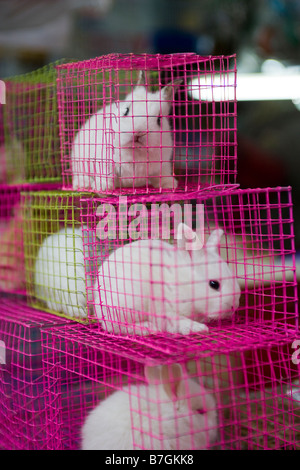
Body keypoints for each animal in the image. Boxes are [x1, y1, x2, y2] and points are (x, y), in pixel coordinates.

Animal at [92, 223, 240, 336]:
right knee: (116, 326)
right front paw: (198, 328)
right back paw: (147, 327)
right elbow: (180, 322)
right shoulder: (166, 311)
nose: (234, 307)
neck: (184, 284)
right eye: (214, 284)